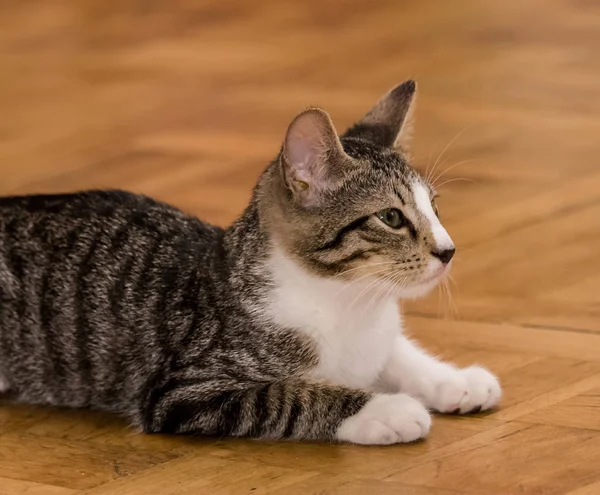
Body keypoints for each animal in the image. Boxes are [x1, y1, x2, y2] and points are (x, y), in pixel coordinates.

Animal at [0, 81, 502, 446]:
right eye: (392, 217)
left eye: (435, 208)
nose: (448, 250)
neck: (347, 303)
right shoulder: (181, 390)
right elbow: (287, 396)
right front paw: (384, 409)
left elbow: (398, 352)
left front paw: (454, 380)